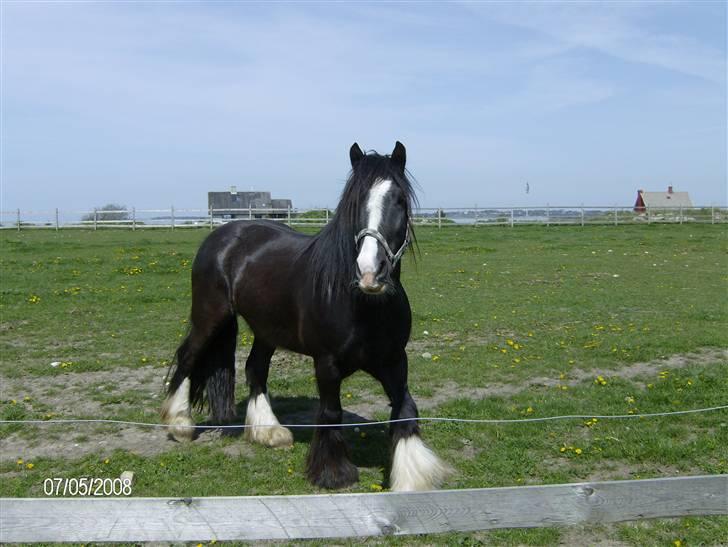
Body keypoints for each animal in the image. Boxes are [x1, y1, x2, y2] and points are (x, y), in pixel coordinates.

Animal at [161, 142, 450, 492]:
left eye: (400, 200)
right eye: (354, 201)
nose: (370, 272)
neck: (364, 306)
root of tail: (224, 234)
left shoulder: (394, 360)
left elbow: (406, 407)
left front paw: (413, 476)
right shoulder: (326, 363)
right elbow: (331, 412)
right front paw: (333, 473)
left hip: (266, 329)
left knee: (254, 368)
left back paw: (269, 432)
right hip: (210, 316)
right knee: (188, 357)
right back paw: (180, 424)